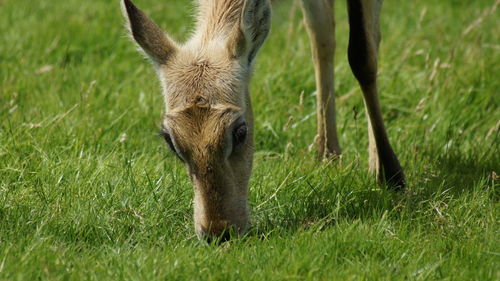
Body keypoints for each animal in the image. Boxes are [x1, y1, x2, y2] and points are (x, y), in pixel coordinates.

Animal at [121, 0, 406, 241]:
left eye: (240, 131)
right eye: (170, 139)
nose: (218, 232)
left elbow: (362, 54)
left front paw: (394, 176)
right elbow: (321, 31)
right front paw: (329, 155)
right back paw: (329, 154)